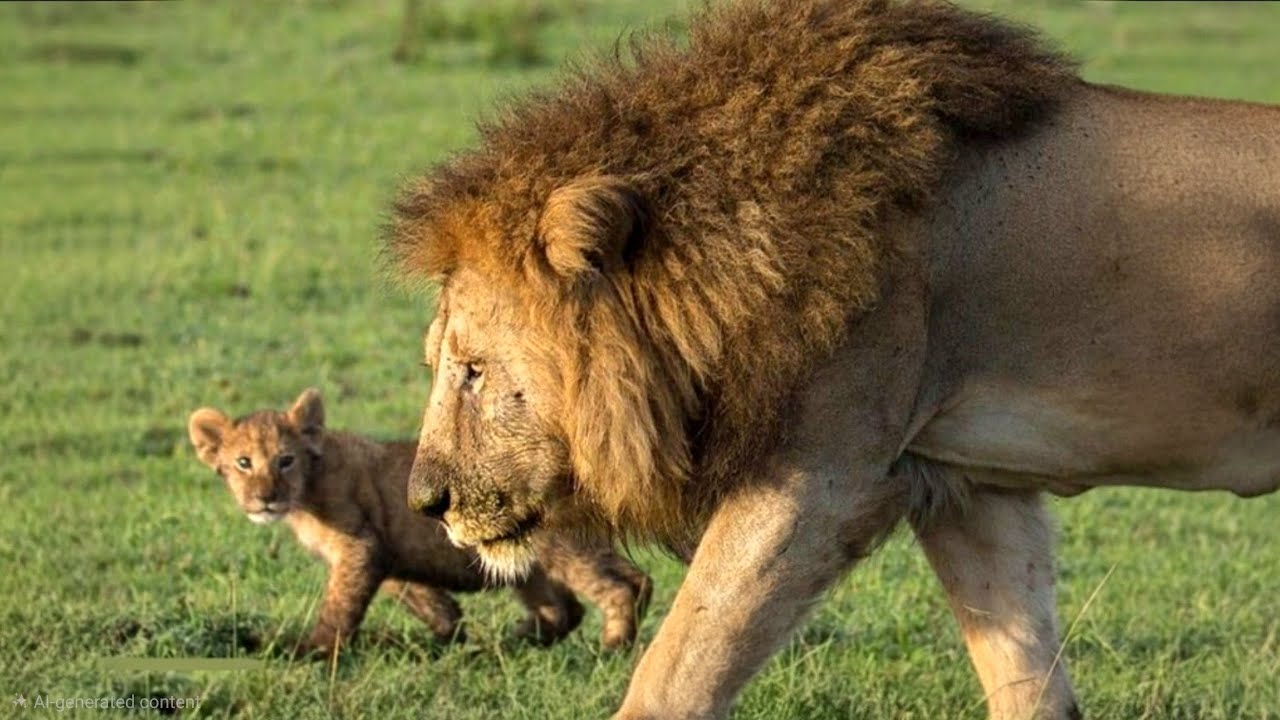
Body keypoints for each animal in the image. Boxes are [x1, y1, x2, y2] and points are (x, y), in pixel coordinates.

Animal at [187, 389, 651, 656]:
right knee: (566, 608)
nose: (265, 498)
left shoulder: (359, 546)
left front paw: (313, 649)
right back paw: (511, 642)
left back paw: (613, 647)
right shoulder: (385, 552)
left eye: (285, 460)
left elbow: (339, 607)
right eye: (243, 463)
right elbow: (417, 594)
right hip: (527, 564)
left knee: (623, 585)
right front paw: (449, 629)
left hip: (563, 549)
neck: (305, 492)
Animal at [384, 0, 1280, 718]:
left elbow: (675, 673)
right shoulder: (964, 486)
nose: (425, 499)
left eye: (473, 369)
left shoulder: (822, 478)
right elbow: (1028, 675)